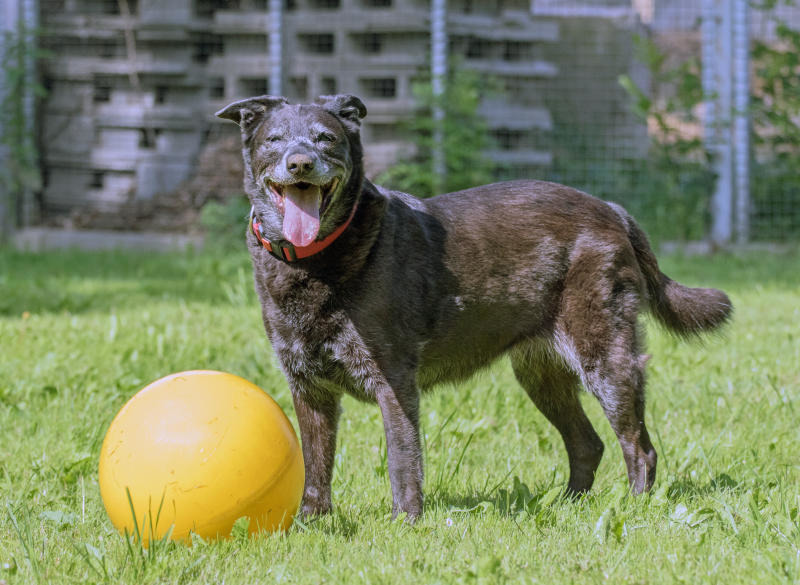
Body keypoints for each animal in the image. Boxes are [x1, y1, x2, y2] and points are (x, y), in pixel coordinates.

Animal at [217, 96, 732, 520]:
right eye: (274, 141)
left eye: (326, 138)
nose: (300, 163)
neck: (316, 260)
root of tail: (612, 210)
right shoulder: (309, 389)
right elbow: (315, 468)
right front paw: (312, 524)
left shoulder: (393, 384)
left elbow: (403, 462)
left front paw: (405, 524)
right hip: (541, 376)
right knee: (588, 444)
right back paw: (565, 507)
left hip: (606, 361)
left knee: (639, 447)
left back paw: (634, 508)